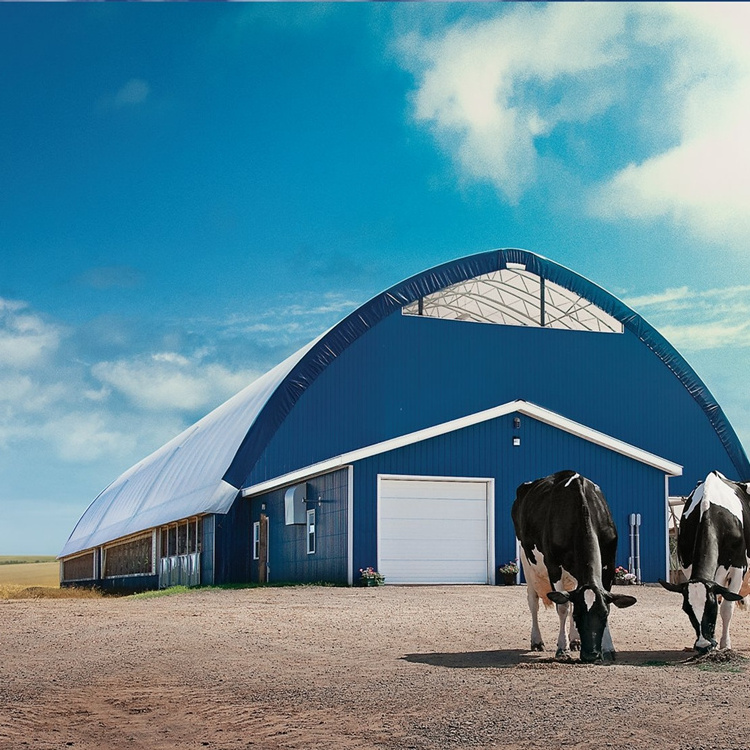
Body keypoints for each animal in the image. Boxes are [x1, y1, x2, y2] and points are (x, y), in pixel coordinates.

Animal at [508, 472, 636, 668]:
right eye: (577, 616)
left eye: (603, 616)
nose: (591, 655)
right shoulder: (554, 566)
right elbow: (563, 607)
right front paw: (562, 649)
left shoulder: (609, 565)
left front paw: (608, 648)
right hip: (527, 562)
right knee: (533, 602)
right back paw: (537, 641)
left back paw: (575, 640)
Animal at [660, 472, 748, 656]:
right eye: (686, 609)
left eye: (711, 608)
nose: (702, 646)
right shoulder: (688, 566)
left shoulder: (739, 567)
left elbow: (727, 607)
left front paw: (725, 644)